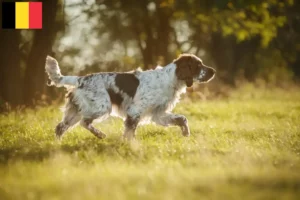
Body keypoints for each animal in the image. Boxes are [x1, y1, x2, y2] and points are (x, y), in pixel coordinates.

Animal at [45, 54, 216, 140]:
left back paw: (58, 147)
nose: (213, 71)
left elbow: (182, 118)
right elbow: (130, 131)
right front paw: (131, 146)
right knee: (84, 122)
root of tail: (80, 79)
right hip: (101, 107)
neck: (170, 78)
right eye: (198, 65)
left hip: (75, 111)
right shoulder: (135, 111)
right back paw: (100, 135)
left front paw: (186, 133)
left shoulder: (158, 113)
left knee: (60, 127)